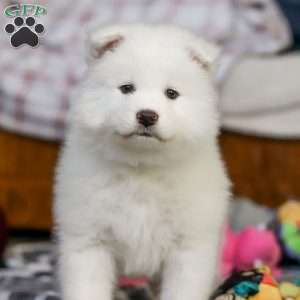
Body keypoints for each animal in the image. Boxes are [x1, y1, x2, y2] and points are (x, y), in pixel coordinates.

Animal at [54, 24, 230, 300]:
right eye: (127, 88)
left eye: (171, 94)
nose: (147, 115)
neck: (142, 166)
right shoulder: (89, 240)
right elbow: (87, 287)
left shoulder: (190, 246)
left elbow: (182, 290)